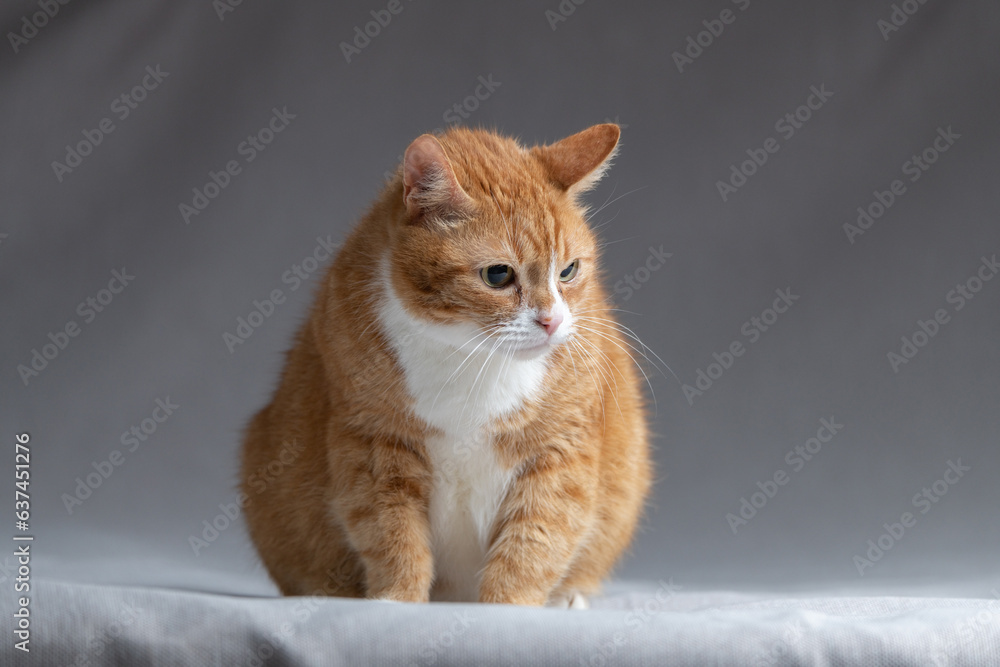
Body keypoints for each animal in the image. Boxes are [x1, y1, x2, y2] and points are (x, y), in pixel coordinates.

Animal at [239, 122, 652, 608]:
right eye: (498, 275)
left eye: (567, 271)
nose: (552, 321)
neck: (471, 359)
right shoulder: (373, 445)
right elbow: (392, 536)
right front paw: (395, 599)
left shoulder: (559, 451)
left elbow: (534, 542)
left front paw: (510, 607)